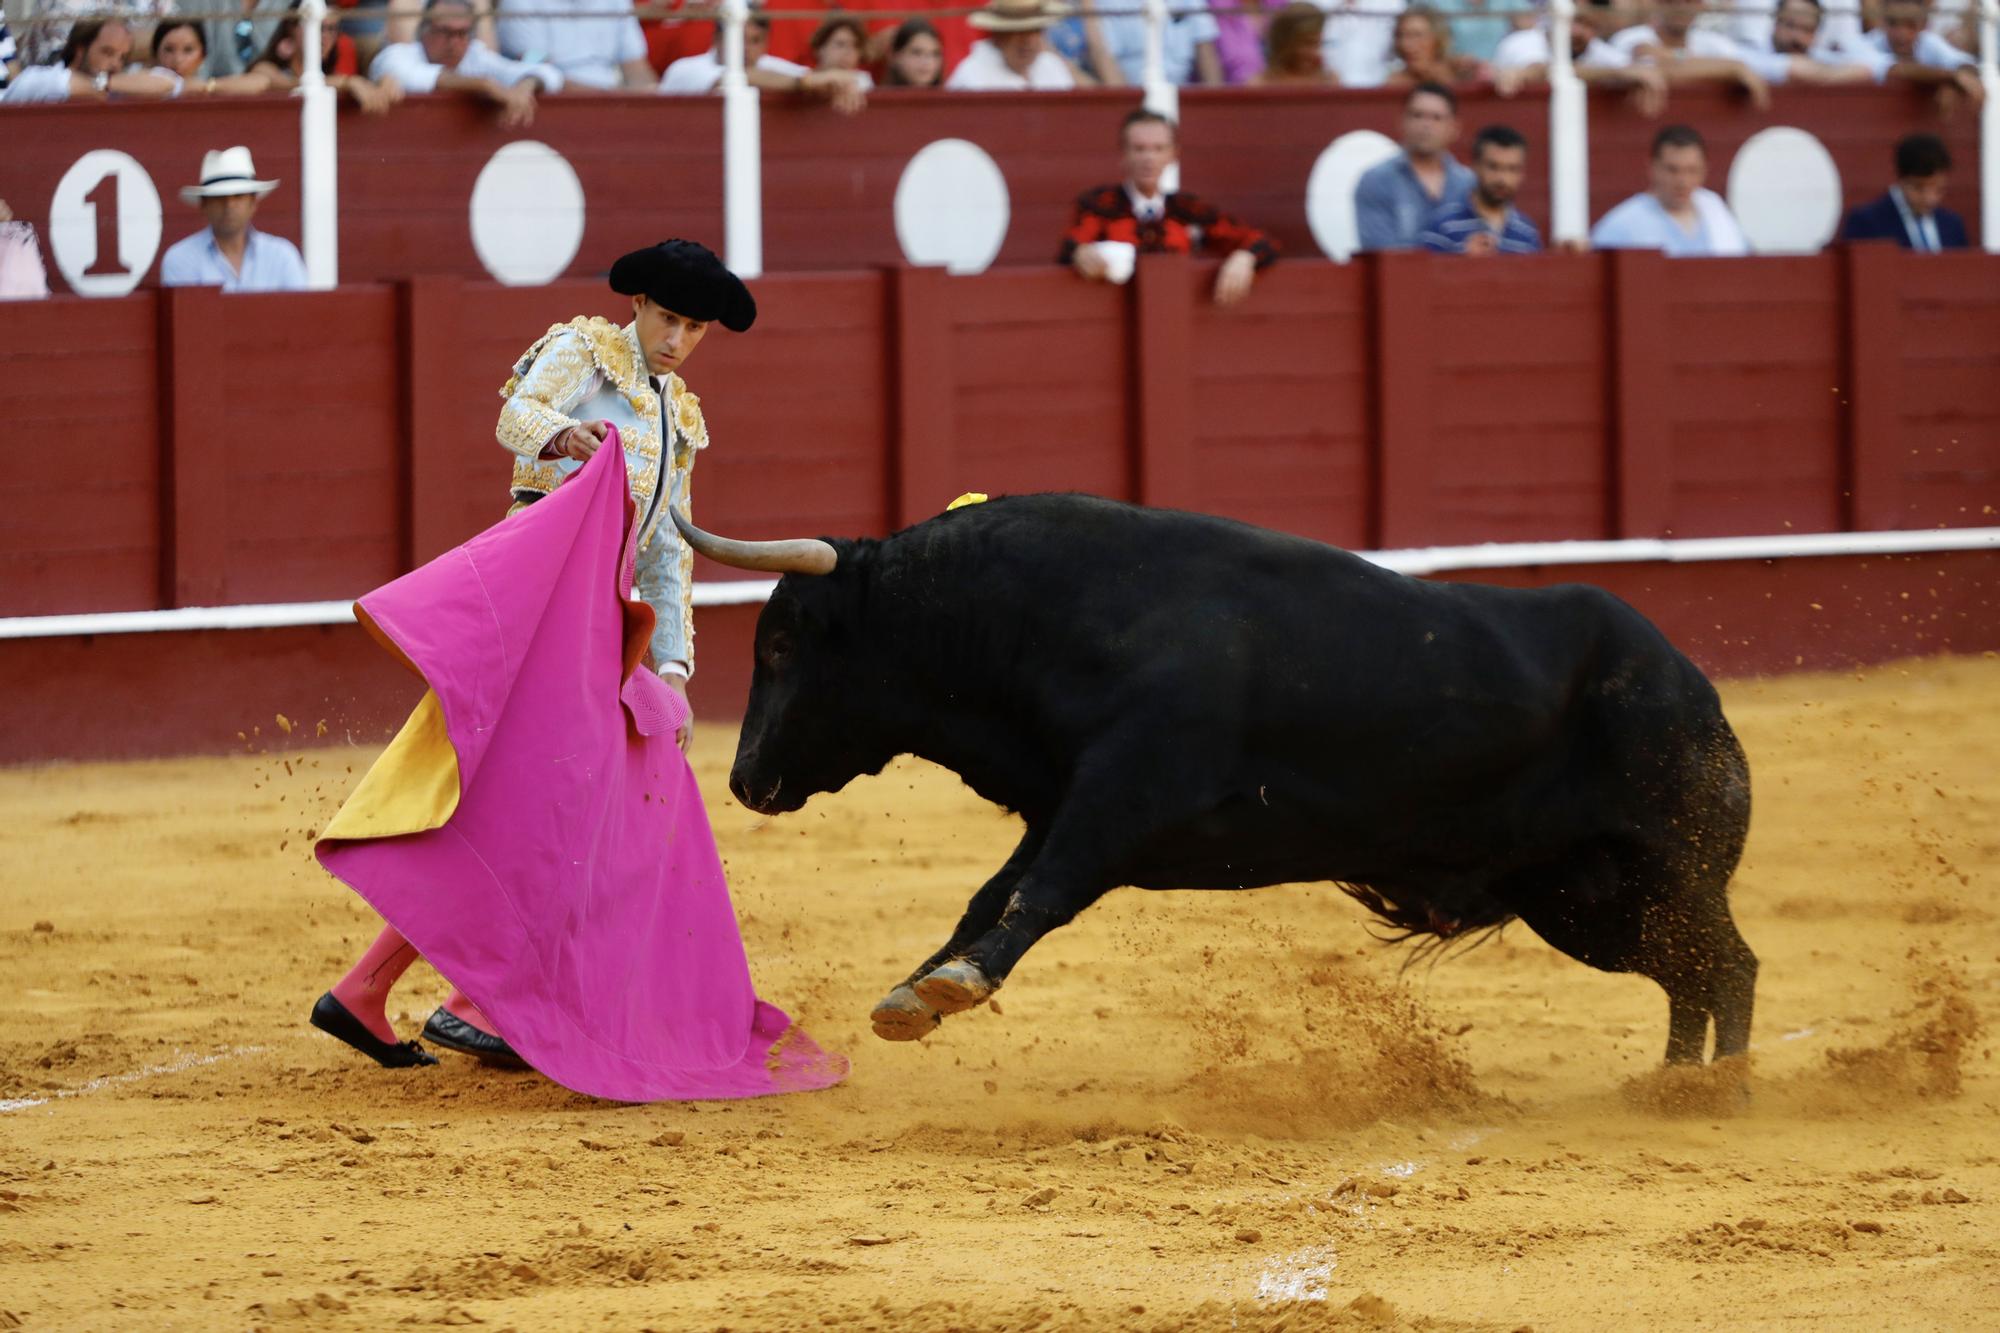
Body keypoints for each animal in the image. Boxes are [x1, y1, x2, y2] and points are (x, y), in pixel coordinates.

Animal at [676, 492, 1752, 1064]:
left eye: (782, 644)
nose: (744, 779)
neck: (1056, 615)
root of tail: (1688, 682)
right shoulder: (1064, 802)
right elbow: (992, 891)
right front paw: (912, 992)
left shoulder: (1120, 798)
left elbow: (1037, 893)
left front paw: (954, 983)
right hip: (1580, 898)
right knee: (1689, 971)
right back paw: (1668, 1086)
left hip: (1668, 864)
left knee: (1728, 966)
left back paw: (1713, 1093)